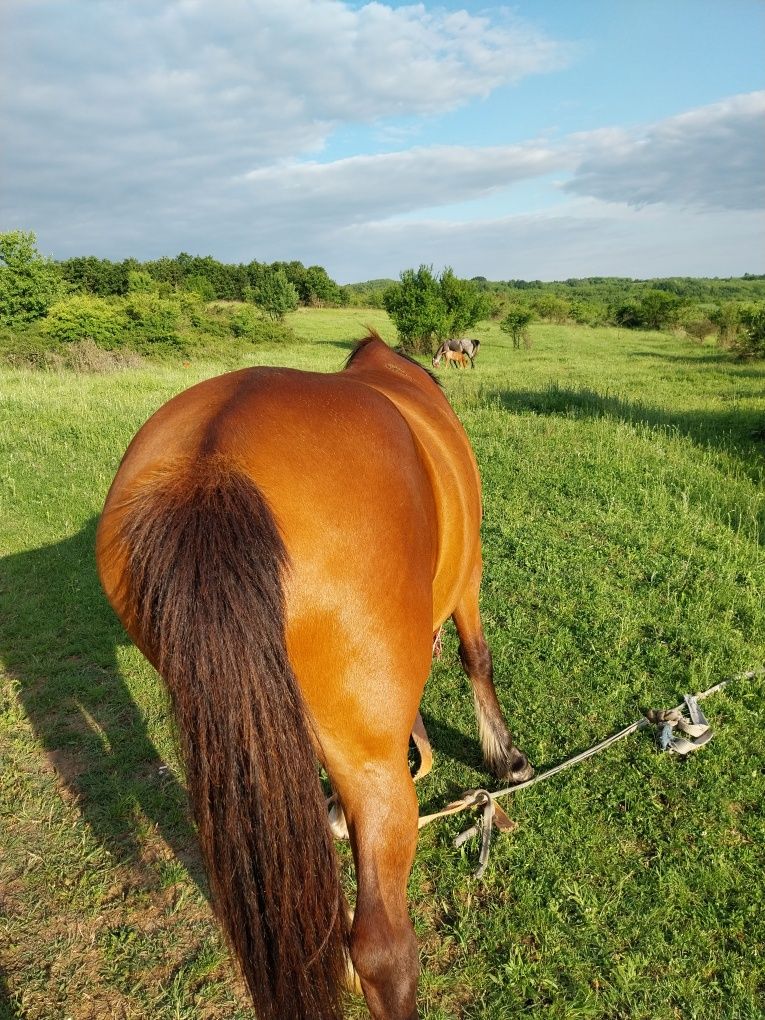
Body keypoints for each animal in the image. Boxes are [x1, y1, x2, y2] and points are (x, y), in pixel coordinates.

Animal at [95, 330, 534, 1015]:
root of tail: (213, 467)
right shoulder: (469, 576)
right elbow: (477, 659)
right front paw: (506, 757)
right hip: (373, 765)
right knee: (383, 946)